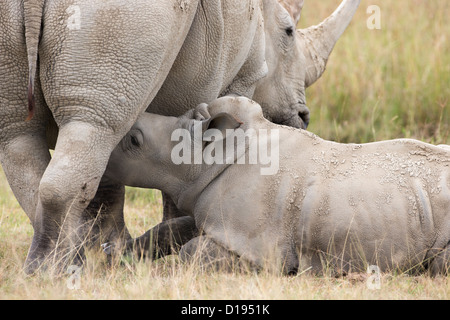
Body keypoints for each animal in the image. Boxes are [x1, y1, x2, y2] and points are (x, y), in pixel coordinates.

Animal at [106, 97, 450, 276]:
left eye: (134, 141)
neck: (206, 160)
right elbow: (172, 229)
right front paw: (116, 253)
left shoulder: (258, 243)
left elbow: (192, 252)